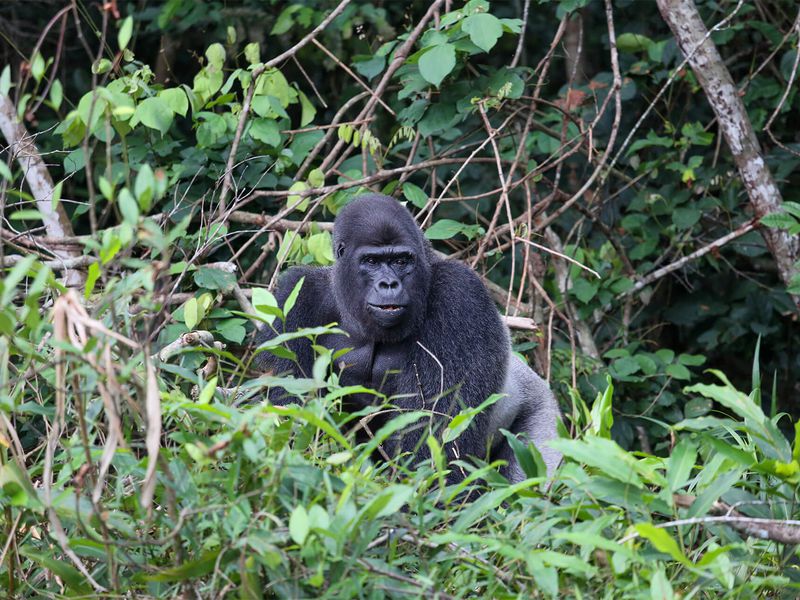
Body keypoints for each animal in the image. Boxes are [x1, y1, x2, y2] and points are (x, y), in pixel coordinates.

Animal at [256, 195, 564, 486]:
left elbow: (438, 442)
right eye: (371, 262)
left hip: (544, 417)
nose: (389, 284)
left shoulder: (461, 294)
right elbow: (289, 413)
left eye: (401, 261)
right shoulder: (297, 294)